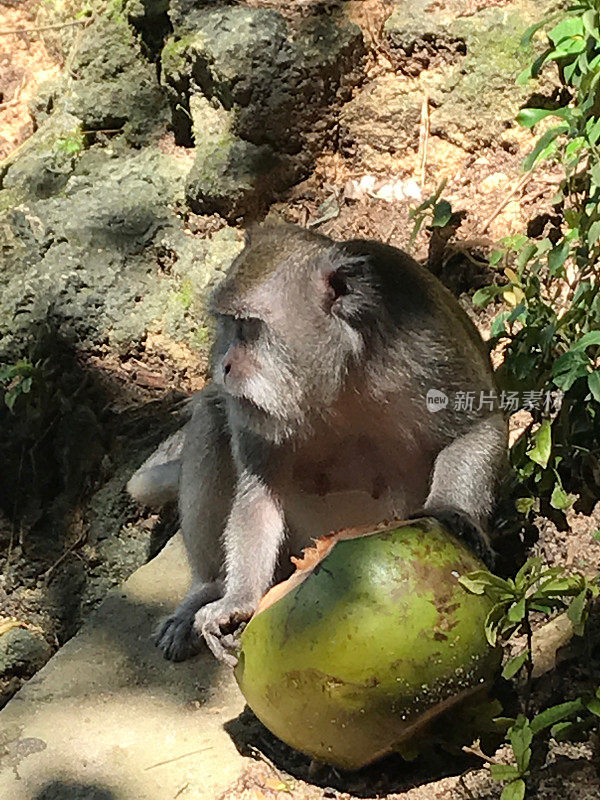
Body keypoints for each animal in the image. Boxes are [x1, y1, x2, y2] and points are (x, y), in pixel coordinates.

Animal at [127, 222, 506, 664]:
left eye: (250, 329)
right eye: (228, 327)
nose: (224, 364)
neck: (337, 377)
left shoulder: (424, 342)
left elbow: (476, 428)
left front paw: (455, 515)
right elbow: (259, 494)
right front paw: (237, 600)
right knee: (211, 413)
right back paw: (205, 591)